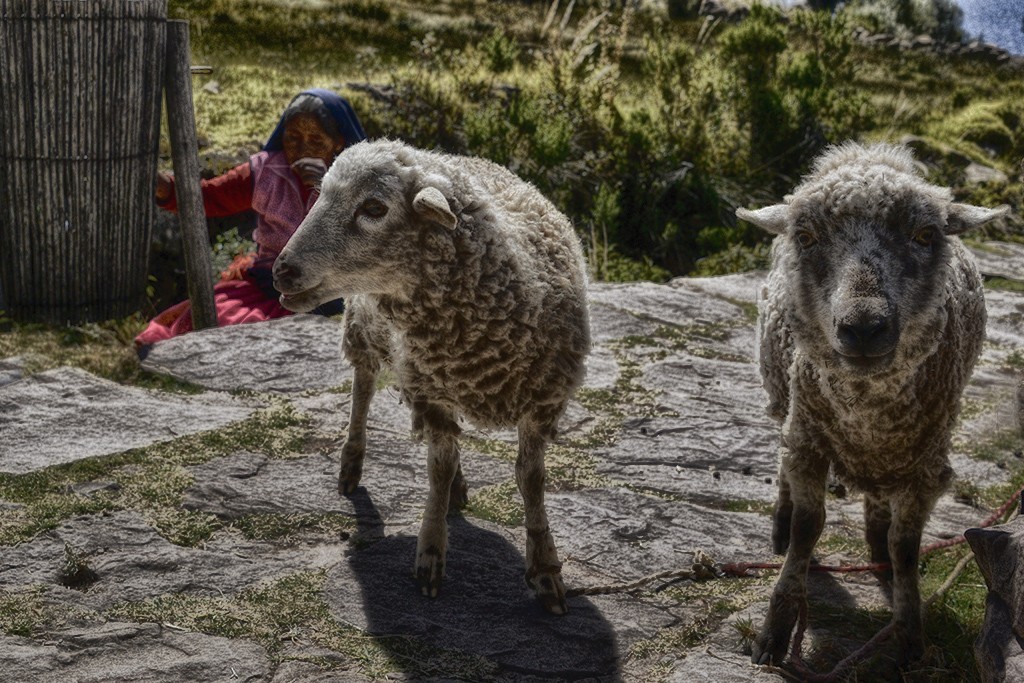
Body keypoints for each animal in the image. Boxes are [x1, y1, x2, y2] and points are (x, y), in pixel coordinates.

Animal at [272, 137, 593, 614]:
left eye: (373, 207)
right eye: (320, 196)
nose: (282, 270)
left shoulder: (543, 399)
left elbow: (531, 480)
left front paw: (545, 570)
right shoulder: (430, 391)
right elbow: (436, 470)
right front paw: (430, 552)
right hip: (365, 330)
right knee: (363, 388)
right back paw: (353, 463)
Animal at [737, 141, 1007, 663]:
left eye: (926, 234)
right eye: (806, 236)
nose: (863, 327)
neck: (867, 413)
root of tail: (865, 154)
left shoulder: (926, 467)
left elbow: (907, 547)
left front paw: (909, 635)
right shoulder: (809, 443)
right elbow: (808, 527)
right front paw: (775, 631)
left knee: (881, 502)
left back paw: (876, 542)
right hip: (785, 400)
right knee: (782, 456)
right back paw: (781, 518)